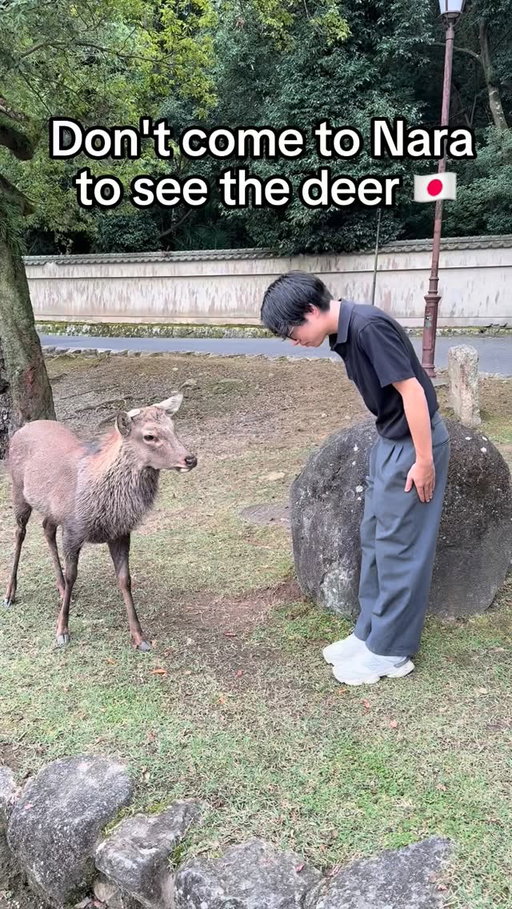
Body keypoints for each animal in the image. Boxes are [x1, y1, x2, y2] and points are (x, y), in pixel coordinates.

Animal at [3, 393, 197, 651]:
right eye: (150, 436)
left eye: (173, 428)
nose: (190, 459)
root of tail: (23, 428)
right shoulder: (73, 528)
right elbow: (73, 575)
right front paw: (61, 631)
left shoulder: (120, 532)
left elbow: (125, 579)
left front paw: (140, 637)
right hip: (18, 490)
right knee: (19, 533)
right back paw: (9, 594)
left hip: (52, 510)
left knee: (46, 528)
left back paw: (60, 588)